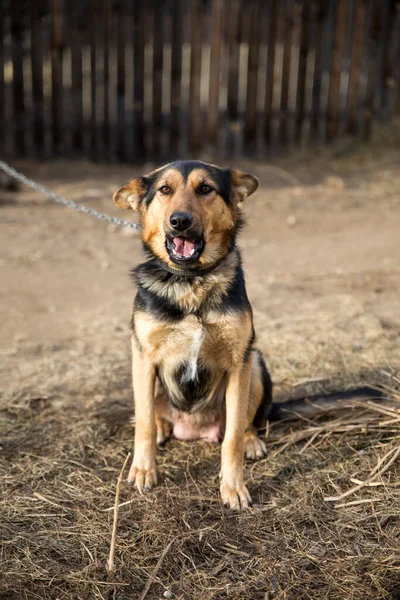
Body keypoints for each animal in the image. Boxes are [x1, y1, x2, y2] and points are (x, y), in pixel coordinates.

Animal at [113, 158, 272, 506]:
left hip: (256, 364)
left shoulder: (239, 359)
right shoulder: (143, 356)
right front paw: (143, 471)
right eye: (164, 189)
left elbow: (233, 436)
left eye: (205, 189)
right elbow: (143, 423)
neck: (190, 282)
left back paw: (252, 440)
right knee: (153, 414)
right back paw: (163, 428)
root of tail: (194, 430)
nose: (180, 222)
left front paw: (233, 486)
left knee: (244, 423)